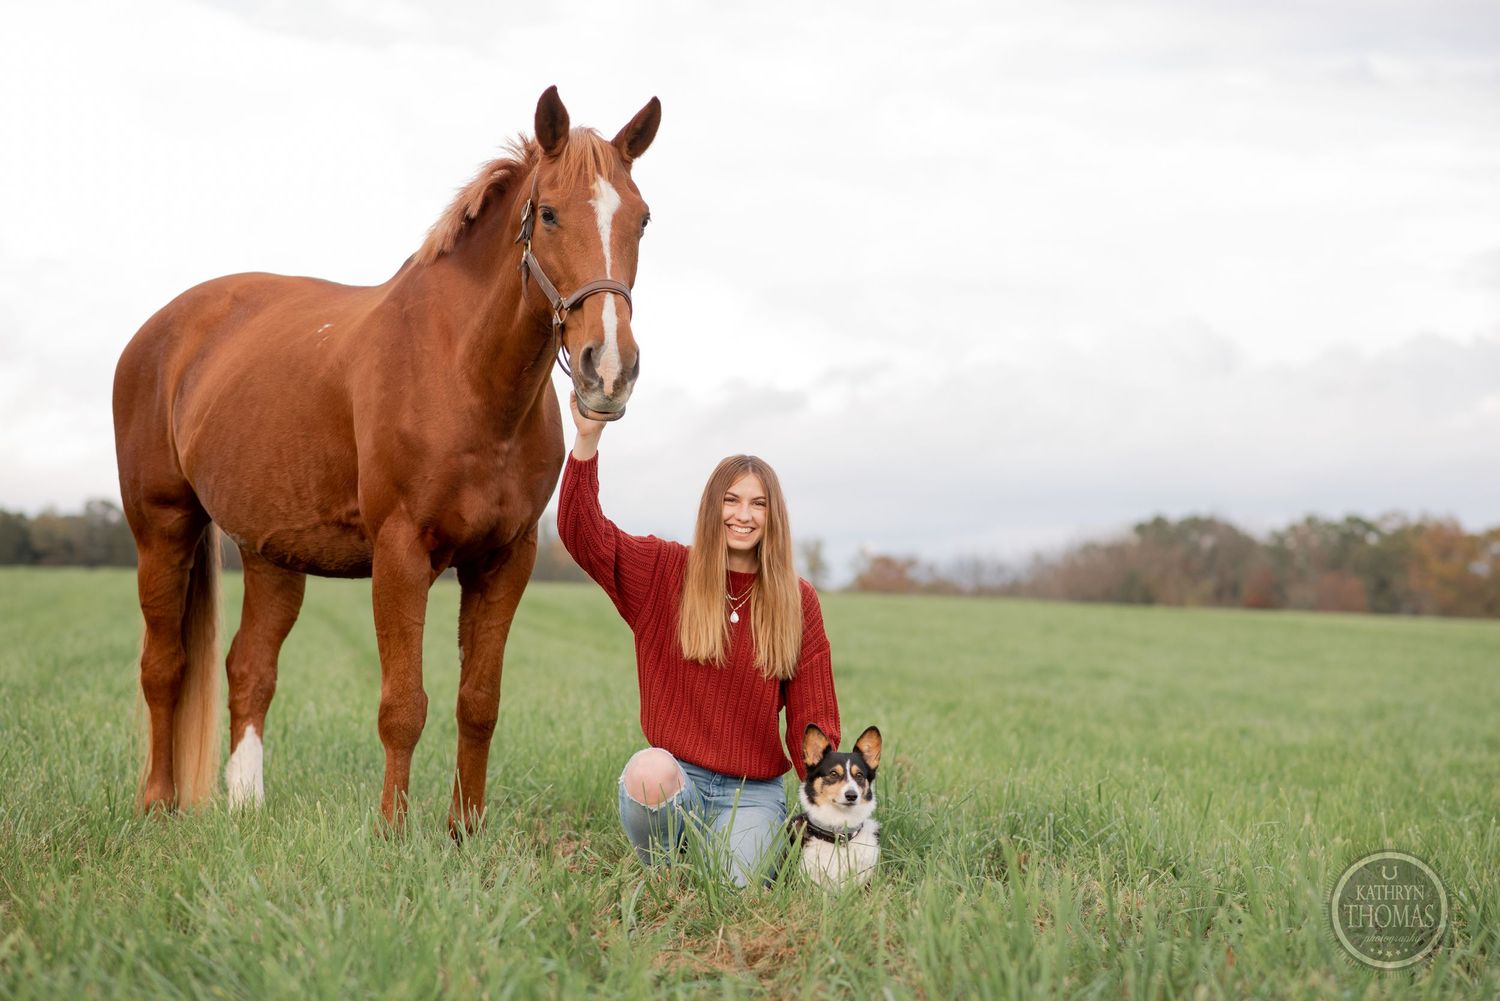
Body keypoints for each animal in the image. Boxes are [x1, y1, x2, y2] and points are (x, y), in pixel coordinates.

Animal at [112, 86, 660, 832]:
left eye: (642, 219)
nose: (610, 369)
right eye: (548, 213)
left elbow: (478, 703)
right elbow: (403, 705)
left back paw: (247, 806)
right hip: (162, 529)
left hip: (271, 553)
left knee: (249, 668)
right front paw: (393, 831)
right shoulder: (400, 553)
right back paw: (158, 803)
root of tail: (161, 330)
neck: (462, 373)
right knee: (164, 665)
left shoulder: (505, 558)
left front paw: (464, 830)